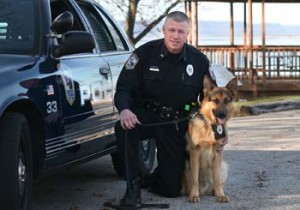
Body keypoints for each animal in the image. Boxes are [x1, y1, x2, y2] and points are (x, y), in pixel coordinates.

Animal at [182, 74, 238, 203]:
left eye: (226, 101)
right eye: (215, 100)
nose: (222, 114)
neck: (211, 126)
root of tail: (205, 188)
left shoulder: (217, 153)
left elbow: (217, 179)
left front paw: (220, 195)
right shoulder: (195, 152)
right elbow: (195, 179)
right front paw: (194, 195)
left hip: (223, 166)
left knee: (217, 182)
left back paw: (214, 191)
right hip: (186, 166)